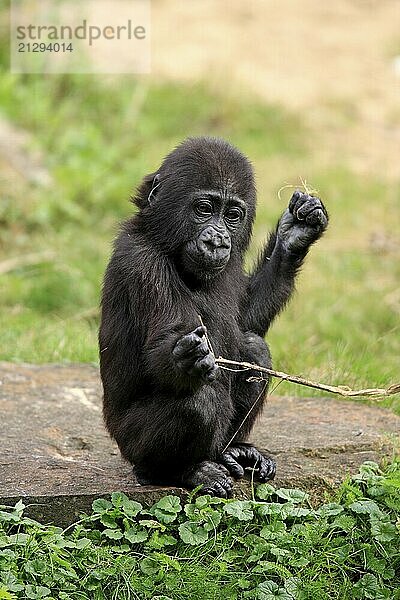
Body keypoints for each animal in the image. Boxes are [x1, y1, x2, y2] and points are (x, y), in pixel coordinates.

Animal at [97, 137, 328, 496]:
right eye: (204, 209)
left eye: (232, 215)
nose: (218, 240)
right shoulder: (141, 264)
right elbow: (167, 351)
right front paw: (183, 358)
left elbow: (247, 322)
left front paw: (294, 236)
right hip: (129, 447)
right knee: (195, 403)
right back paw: (183, 470)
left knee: (253, 349)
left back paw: (233, 451)